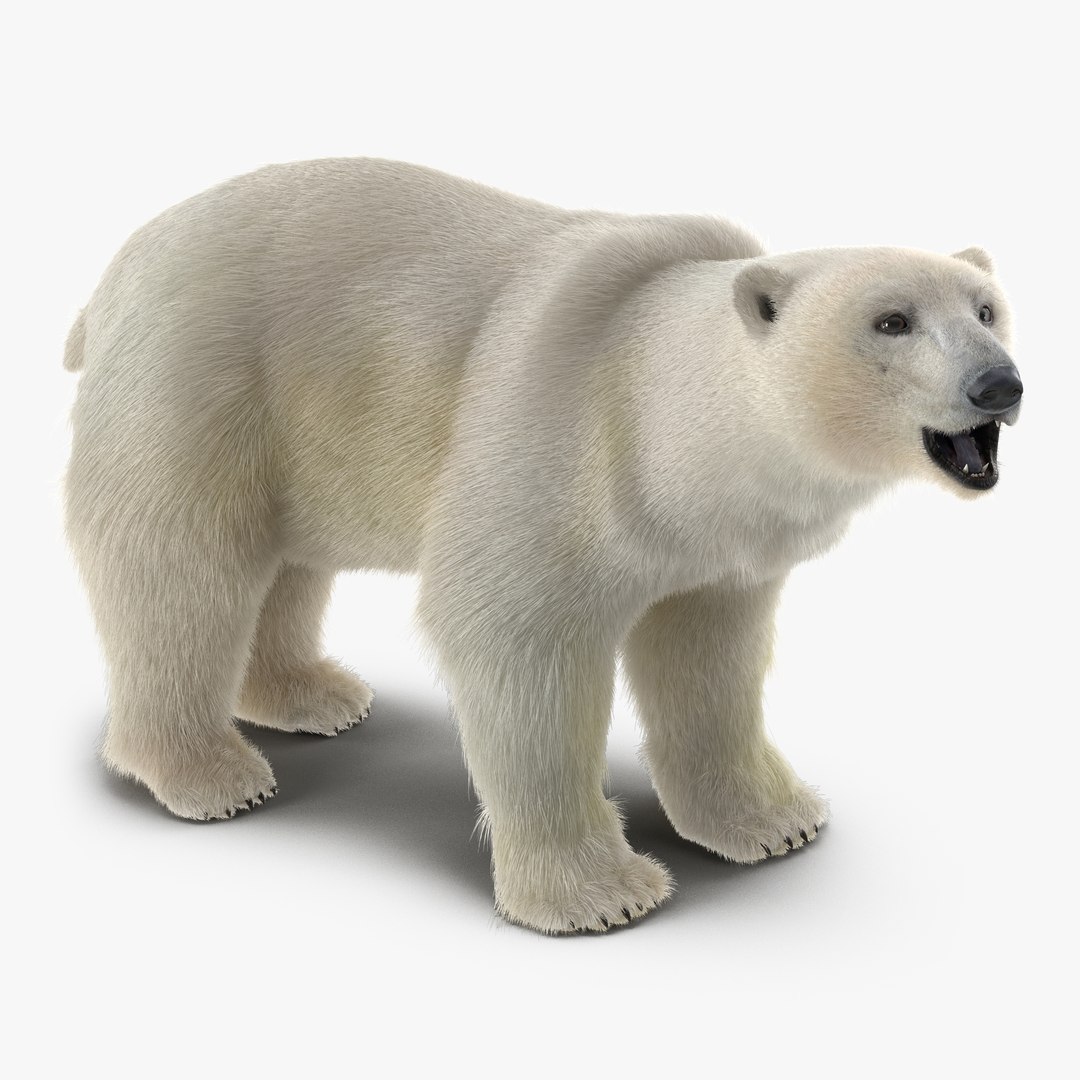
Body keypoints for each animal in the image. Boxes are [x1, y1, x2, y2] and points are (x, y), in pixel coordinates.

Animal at [63, 158, 1023, 934]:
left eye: (988, 308)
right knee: (181, 564)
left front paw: (770, 820)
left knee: (285, 559)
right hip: (196, 373)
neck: (656, 407)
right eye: (891, 320)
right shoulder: (557, 440)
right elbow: (519, 643)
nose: (1000, 382)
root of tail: (120, 265)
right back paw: (209, 774)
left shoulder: (715, 543)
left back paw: (311, 695)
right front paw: (603, 894)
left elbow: (708, 657)